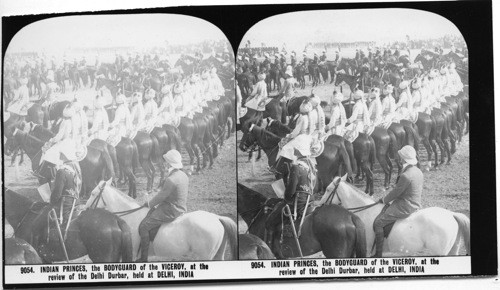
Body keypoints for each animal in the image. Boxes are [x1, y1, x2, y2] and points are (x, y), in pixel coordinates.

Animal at [85, 180, 238, 262]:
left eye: (93, 193)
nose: (84, 210)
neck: (131, 217)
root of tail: (216, 217)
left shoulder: (132, 254)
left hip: (204, 256)